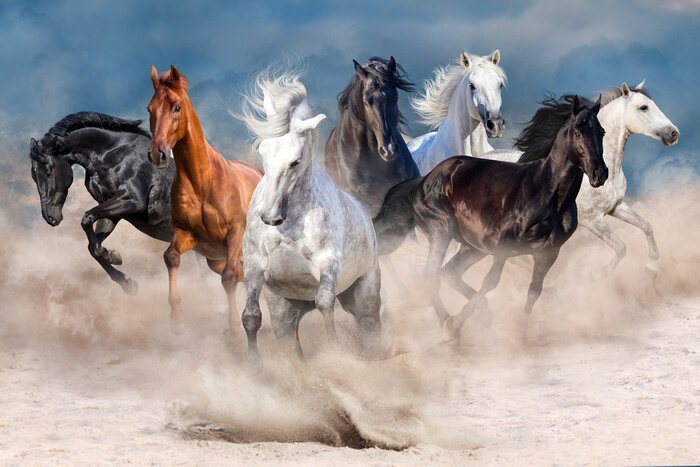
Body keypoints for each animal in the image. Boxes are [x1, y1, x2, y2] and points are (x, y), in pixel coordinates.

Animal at [29, 112, 174, 295]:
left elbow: (87, 218)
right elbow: (92, 246)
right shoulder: (112, 209)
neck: (113, 155)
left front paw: (111, 255)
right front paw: (123, 276)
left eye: (48, 172)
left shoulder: (133, 200)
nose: (50, 217)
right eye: (34, 176)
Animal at [147, 65, 262, 334]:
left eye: (177, 107)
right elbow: (171, 257)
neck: (202, 182)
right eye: (150, 109)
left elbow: (229, 277)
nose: (157, 154)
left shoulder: (235, 234)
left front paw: (233, 328)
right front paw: (177, 317)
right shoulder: (188, 234)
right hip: (214, 260)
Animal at [239, 67, 381, 365]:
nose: (270, 217)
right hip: (285, 312)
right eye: (262, 152)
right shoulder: (254, 266)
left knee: (371, 330)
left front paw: (334, 353)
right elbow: (250, 317)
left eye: (295, 161)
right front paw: (254, 365)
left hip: (364, 294)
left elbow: (325, 304)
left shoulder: (327, 264)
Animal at [373, 96, 607, 343]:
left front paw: (520, 334)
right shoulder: (504, 246)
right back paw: (448, 324)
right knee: (430, 275)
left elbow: (534, 291)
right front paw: (456, 324)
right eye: (578, 133)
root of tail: (424, 180)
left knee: (449, 273)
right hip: (441, 232)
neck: (548, 195)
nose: (599, 173)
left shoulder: (548, 253)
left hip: (473, 247)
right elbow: (491, 281)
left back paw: (484, 314)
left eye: (601, 132)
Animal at [481, 81, 679, 277]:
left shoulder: (616, 207)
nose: (673, 133)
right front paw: (598, 275)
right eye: (644, 107)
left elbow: (647, 226)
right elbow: (621, 247)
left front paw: (652, 267)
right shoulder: (592, 220)